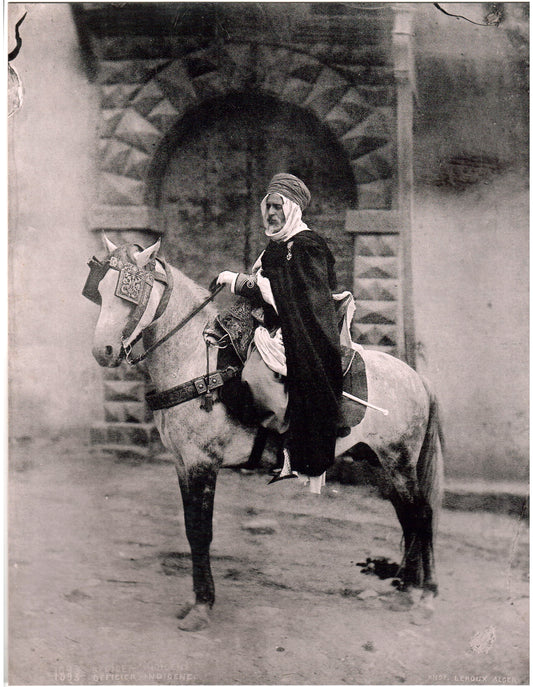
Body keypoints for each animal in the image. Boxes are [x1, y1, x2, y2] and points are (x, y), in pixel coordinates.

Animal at [85, 235, 444, 632]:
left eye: (131, 294)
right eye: (100, 291)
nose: (103, 352)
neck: (195, 362)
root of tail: (417, 377)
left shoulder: (201, 464)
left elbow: (201, 531)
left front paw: (202, 606)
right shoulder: (182, 464)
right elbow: (191, 528)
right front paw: (196, 601)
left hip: (399, 460)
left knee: (421, 514)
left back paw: (426, 595)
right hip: (381, 462)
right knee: (406, 514)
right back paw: (407, 590)